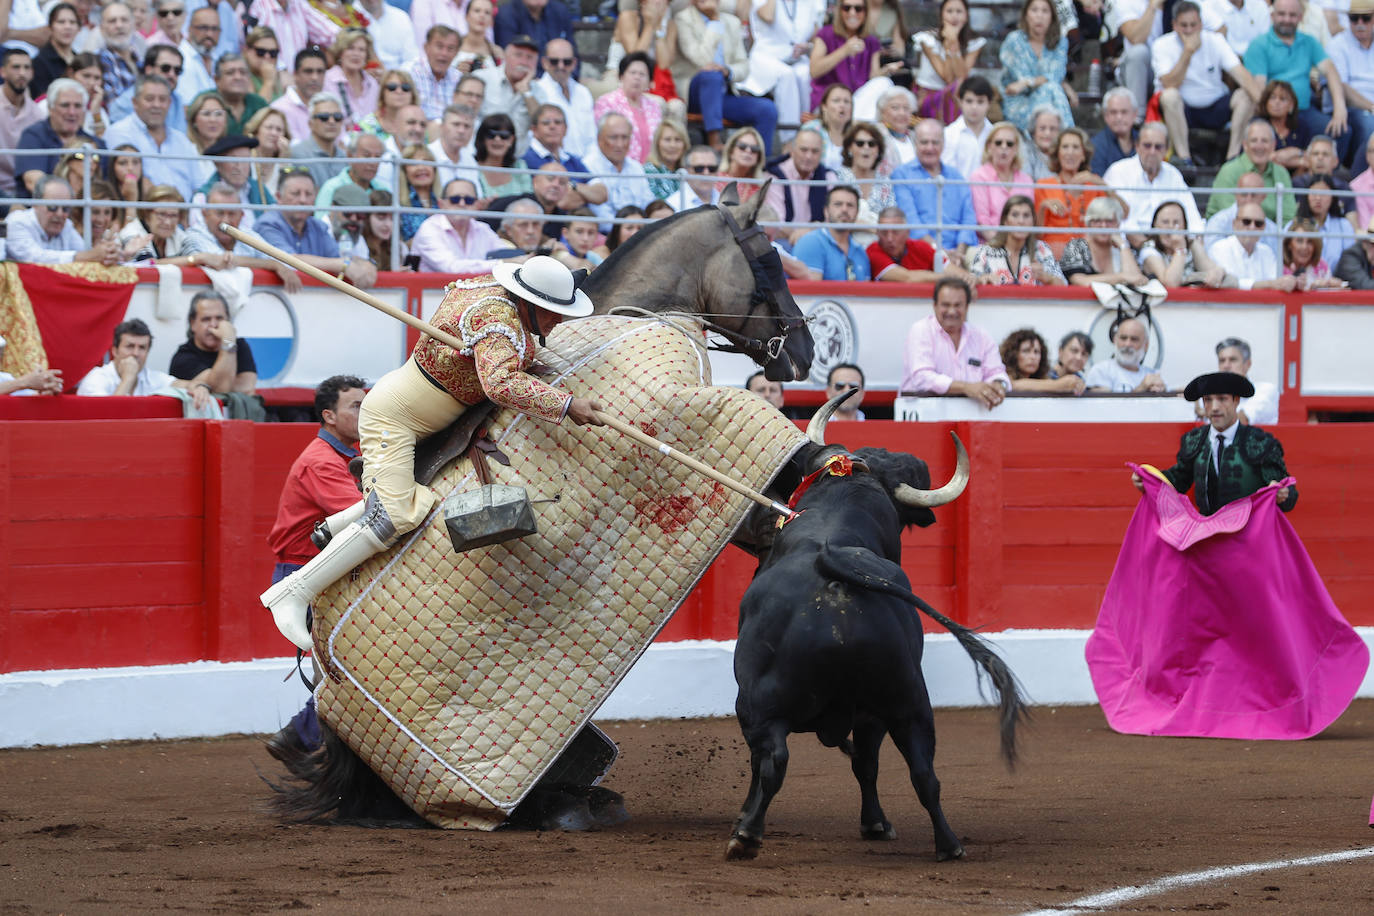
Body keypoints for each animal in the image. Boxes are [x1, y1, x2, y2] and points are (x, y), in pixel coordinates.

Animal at [725, 433, 1027, 862]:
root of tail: (834, 574)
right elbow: (868, 764)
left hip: (762, 703)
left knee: (773, 761)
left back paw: (748, 835)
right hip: (906, 701)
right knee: (920, 772)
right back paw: (948, 844)